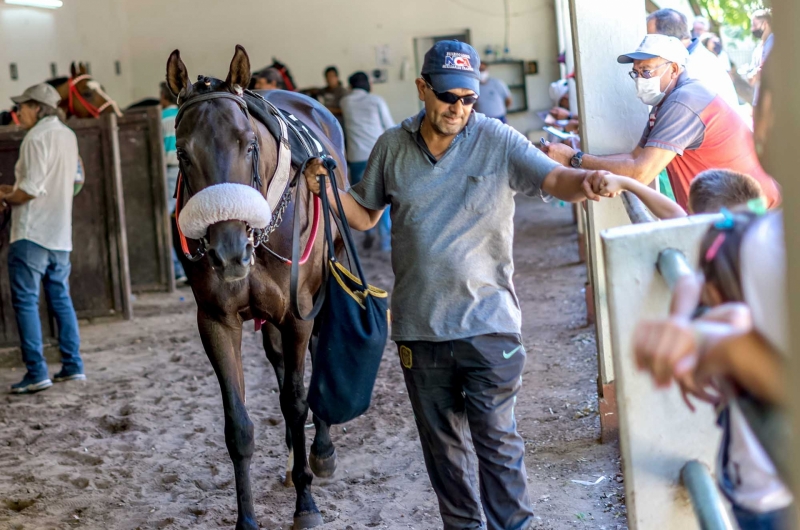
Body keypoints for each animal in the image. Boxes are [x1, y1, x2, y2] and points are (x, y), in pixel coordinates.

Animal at [166, 45, 344, 528]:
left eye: (248, 144)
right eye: (182, 154)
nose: (229, 251)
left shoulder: (297, 313)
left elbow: (296, 401)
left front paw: (307, 503)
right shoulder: (216, 320)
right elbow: (238, 425)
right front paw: (246, 518)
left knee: (316, 358)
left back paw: (320, 453)